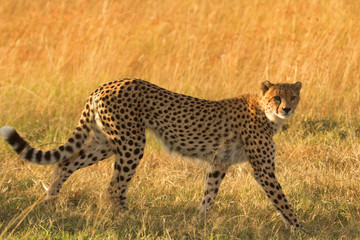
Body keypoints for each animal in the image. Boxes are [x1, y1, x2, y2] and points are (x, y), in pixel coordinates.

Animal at [0, 79, 306, 232]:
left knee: (65, 162)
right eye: (277, 97)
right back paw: (129, 219)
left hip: (105, 142)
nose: (287, 109)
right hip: (131, 143)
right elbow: (282, 199)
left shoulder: (218, 163)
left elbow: (209, 194)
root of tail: (106, 84)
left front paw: (199, 222)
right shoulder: (263, 169)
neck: (266, 113)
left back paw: (50, 202)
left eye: (293, 96)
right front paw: (300, 228)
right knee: (114, 187)